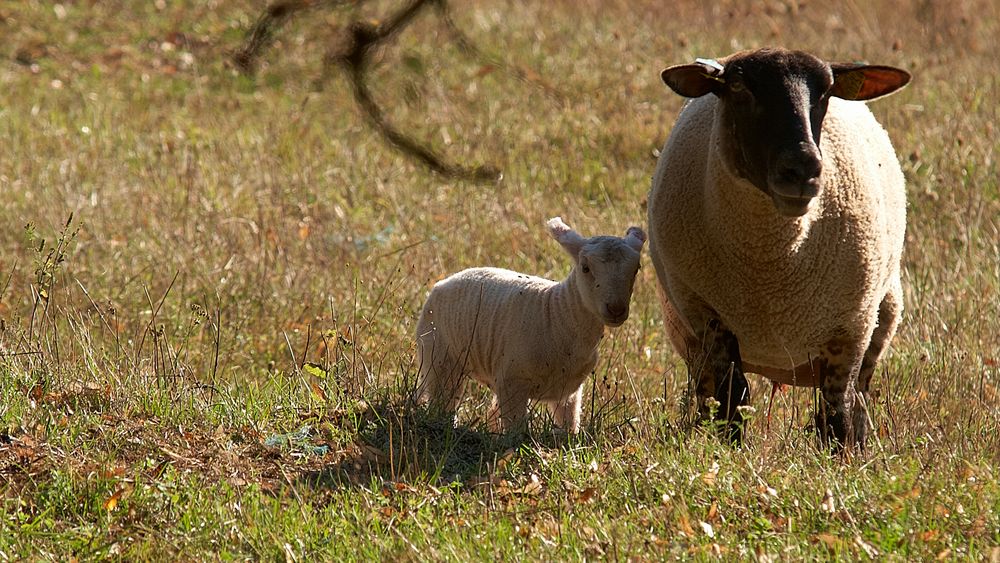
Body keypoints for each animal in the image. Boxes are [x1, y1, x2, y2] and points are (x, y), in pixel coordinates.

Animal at [410, 218, 644, 434]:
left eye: (636, 270)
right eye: (585, 268)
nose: (616, 309)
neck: (558, 312)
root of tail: (441, 284)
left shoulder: (570, 390)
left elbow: (569, 427)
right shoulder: (512, 381)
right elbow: (517, 434)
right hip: (439, 357)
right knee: (442, 402)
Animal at [648, 47, 916, 450]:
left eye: (827, 91)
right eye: (738, 87)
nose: (803, 168)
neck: (770, 268)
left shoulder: (851, 325)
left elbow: (837, 410)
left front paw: (840, 458)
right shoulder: (706, 314)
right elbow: (733, 396)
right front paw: (729, 451)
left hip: (881, 316)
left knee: (859, 398)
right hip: (689, 336)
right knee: (707, 395)